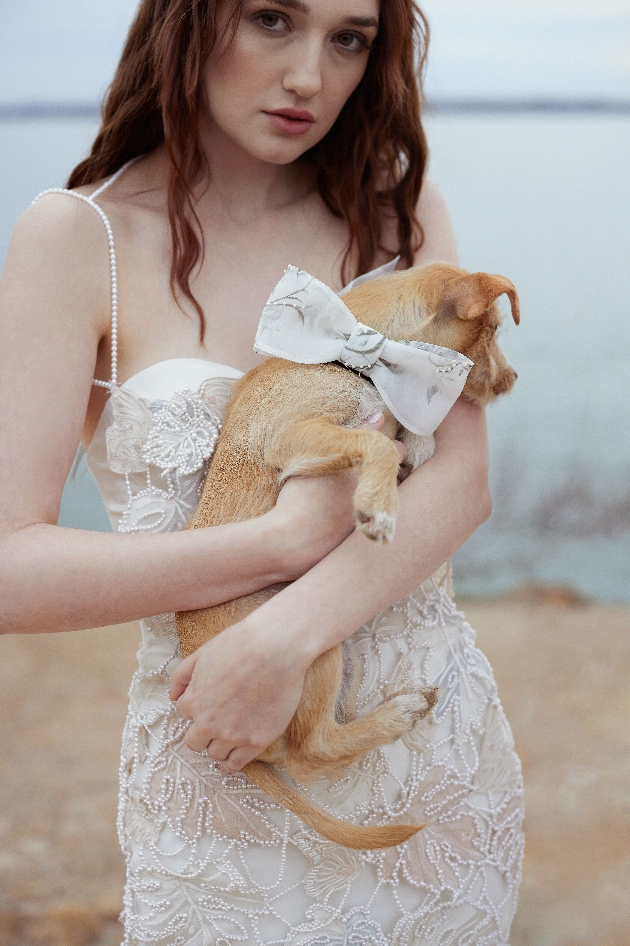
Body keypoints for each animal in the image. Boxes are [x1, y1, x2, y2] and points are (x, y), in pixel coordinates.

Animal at [177, 260, 520, 848]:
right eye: (495, 332)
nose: (513, 379)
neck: (359, 360)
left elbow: (403, 437)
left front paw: (415, 449)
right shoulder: (296, 437)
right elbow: (377, 441)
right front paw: (377, 503)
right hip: (309, 647)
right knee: (311, 753)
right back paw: (398, 714)